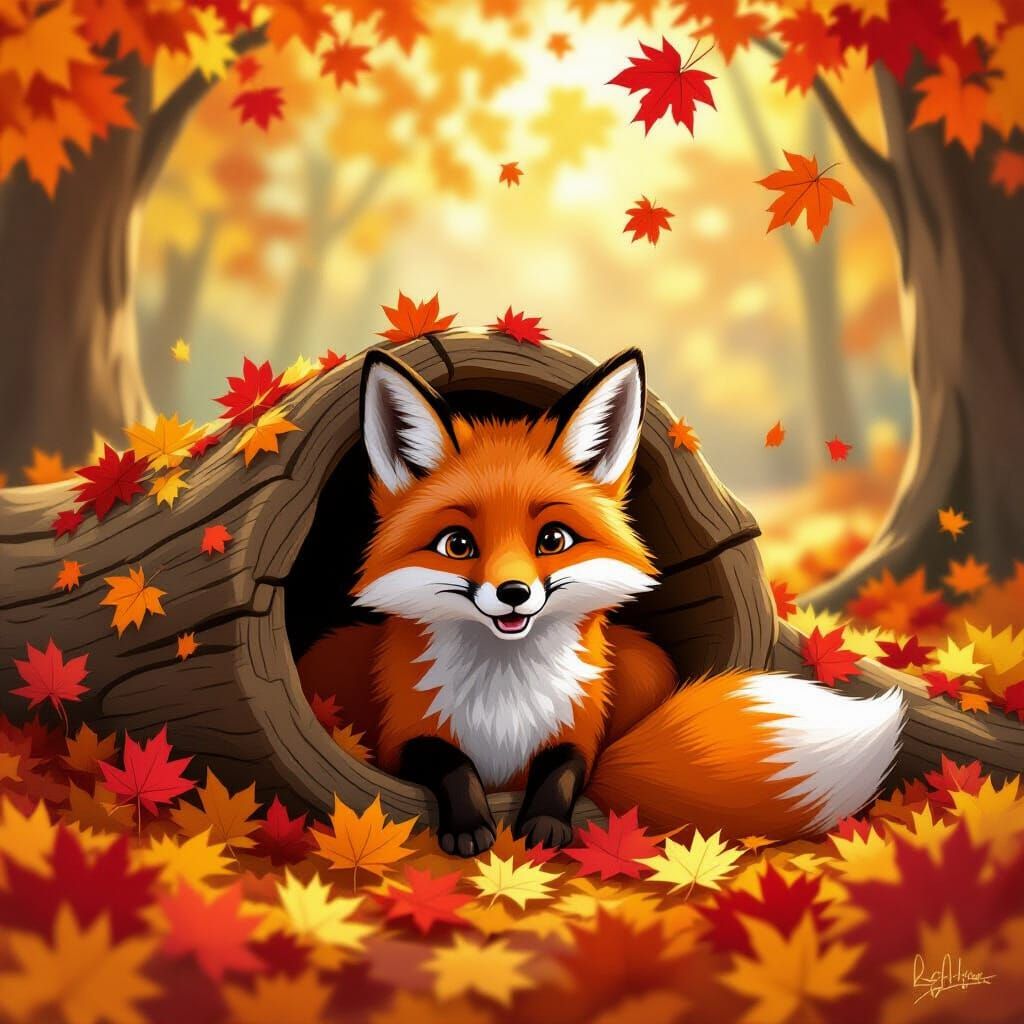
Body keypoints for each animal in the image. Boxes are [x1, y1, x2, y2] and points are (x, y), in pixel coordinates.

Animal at [298, 346, 905, 856]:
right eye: (458, 545)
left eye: (553, 540)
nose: (513, 593)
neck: (503, 699)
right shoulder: (404, 734)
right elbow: (451, 763)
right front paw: (470, 824)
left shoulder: (579, 726)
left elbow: (564, 769)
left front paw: (545, 824)